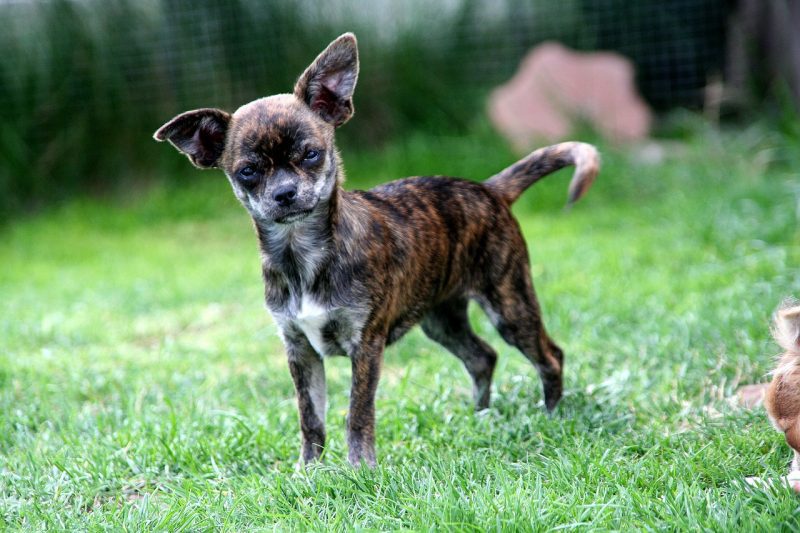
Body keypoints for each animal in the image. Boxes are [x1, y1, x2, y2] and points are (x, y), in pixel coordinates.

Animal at [153, 34, 600, 466]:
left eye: (311, 155)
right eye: (248, 171)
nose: (284, 193)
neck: (303, 254)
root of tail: (490, 189)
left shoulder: (365, 345)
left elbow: (357, 412)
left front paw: (360, 470)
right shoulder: (300, 350)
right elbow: (310, 418)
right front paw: (308, 472)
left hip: (509, 305)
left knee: (550, 355)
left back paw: (551, 416)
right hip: (441, 319)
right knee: (483, 357)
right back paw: (481, 419)